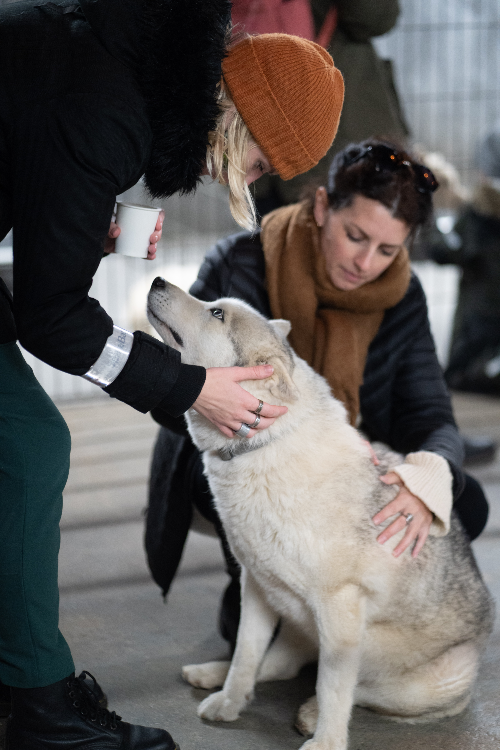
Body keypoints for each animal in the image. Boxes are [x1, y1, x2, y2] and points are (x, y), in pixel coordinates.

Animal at [147, 278, 492, 750]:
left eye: (217, 313)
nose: (157, 281)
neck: (263, 448)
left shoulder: (339, 605)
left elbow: (333, 686)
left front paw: (327, 741)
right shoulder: (256, 585)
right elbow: (246, 655)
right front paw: (230, 703)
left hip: (414, 678)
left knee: (355, 685)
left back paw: (310, 715)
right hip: (295, 613)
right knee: (282, 662)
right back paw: (214, 675)